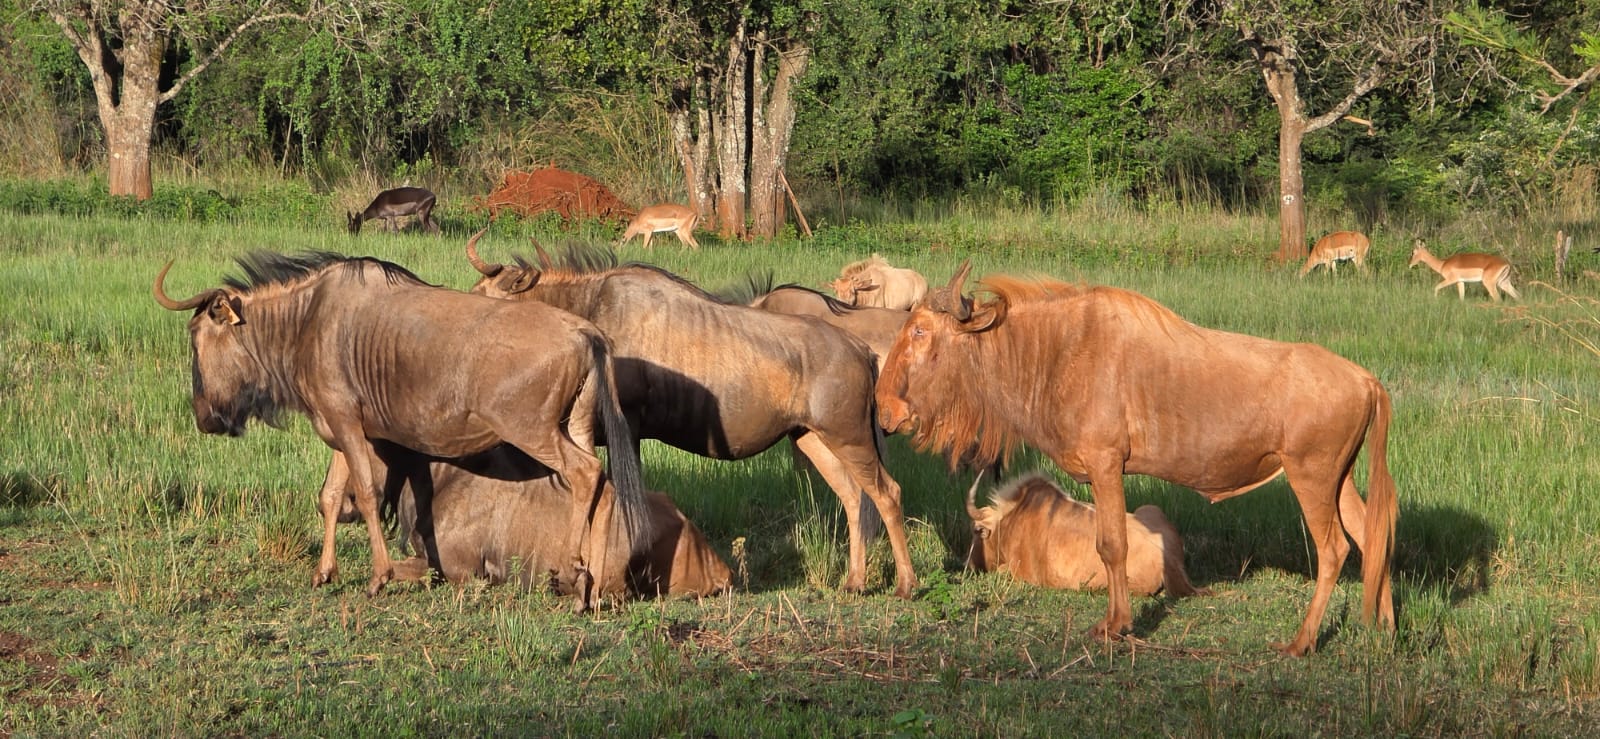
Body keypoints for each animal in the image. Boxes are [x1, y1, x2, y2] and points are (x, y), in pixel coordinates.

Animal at [152, 252, 652, 610]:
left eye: (195, 339)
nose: (204, 418)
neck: (306, 321)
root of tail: (586, 333)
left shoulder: (349, 426)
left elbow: (367, 495)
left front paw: (378, 577)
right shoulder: (340, 428)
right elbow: (330, 497)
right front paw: (324, 573)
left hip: (535, 432)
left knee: (587, 475)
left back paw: (570, 573)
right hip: (576, 428)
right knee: (601, 486)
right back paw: (588, 588)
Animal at [461, 232, 919, 599]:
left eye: (484, 298)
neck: (593, 309)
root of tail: (861, 350)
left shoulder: (627, 430)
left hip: (849, 437)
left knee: (887, 493)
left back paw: (905, 584)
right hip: (815, 439)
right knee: (854, 497)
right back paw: (855, 582)